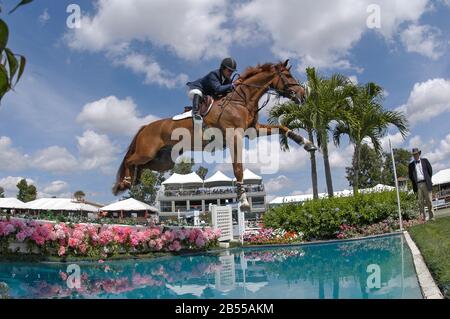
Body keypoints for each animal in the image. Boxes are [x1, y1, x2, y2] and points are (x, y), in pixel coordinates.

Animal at [112, 60, 316, 211]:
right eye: (288, 76)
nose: (303, 94)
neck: (241, 100)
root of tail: (145, 126)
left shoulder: (254, 130)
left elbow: (282, 127)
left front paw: (307, 143)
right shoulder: (235, 135)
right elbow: (238, 168)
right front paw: (243, 201)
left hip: (162, 161)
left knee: (140, 165)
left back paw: (132, 181)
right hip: (147, 152)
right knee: (130, 159)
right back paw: (124, 182)